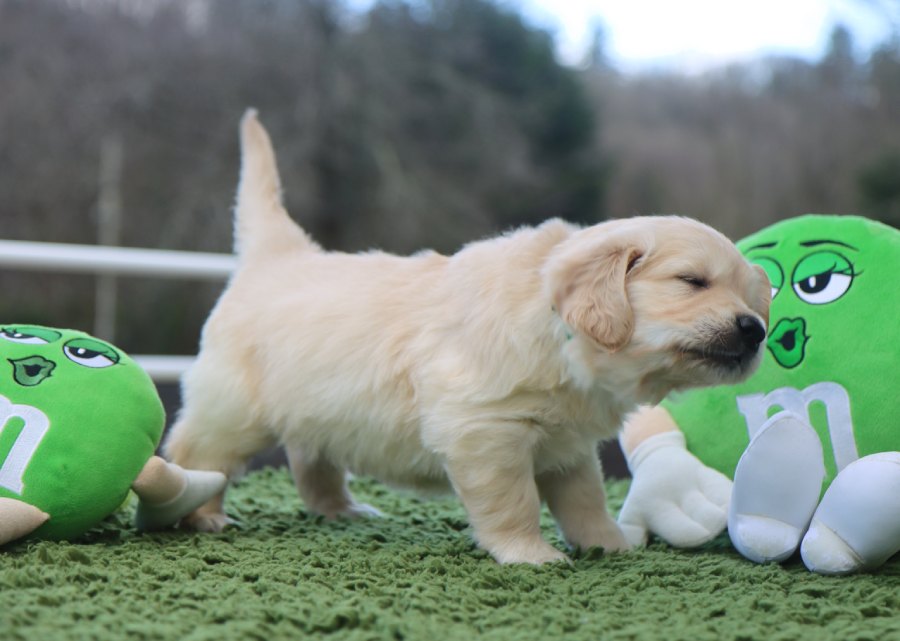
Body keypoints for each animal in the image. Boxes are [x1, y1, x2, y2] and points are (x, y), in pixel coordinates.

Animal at [164, 110, 770, 565]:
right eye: (692, 281)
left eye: (751, 297)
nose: (756, 328)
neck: (560, 334)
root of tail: (276, 255)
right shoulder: (486, 431)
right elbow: (514, 501)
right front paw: (530, 554)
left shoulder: (568, 445)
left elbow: (585, 499)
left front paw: (608, 544)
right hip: (233, 408)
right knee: (197, 453)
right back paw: (205, 515)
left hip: (315, 408)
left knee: (310, 460)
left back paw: (341, 509)